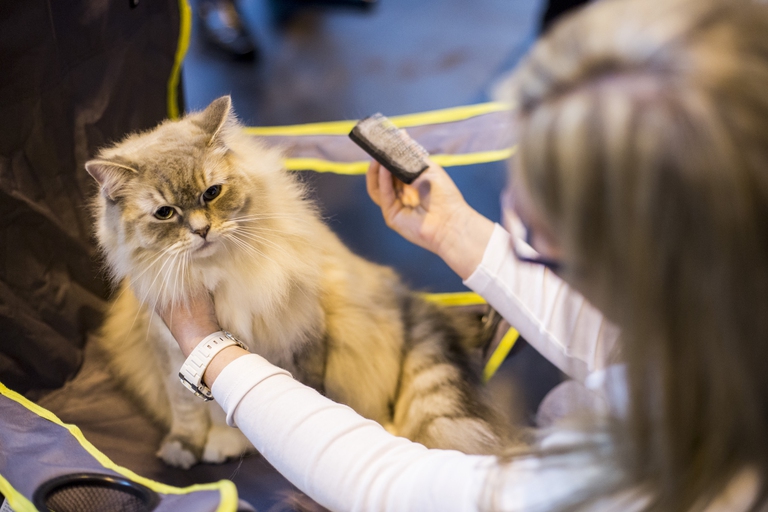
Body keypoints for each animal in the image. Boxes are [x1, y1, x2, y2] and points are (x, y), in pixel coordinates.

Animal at [85, 96, 510, 468]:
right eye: (165, 213)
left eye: (212, 193)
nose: (202, 231)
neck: (215, 273)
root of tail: (403, 297)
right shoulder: (169, 350)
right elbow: (188, 408)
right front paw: (184, 448)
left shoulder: (298, 338)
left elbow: (272, 401)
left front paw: (227, 445)